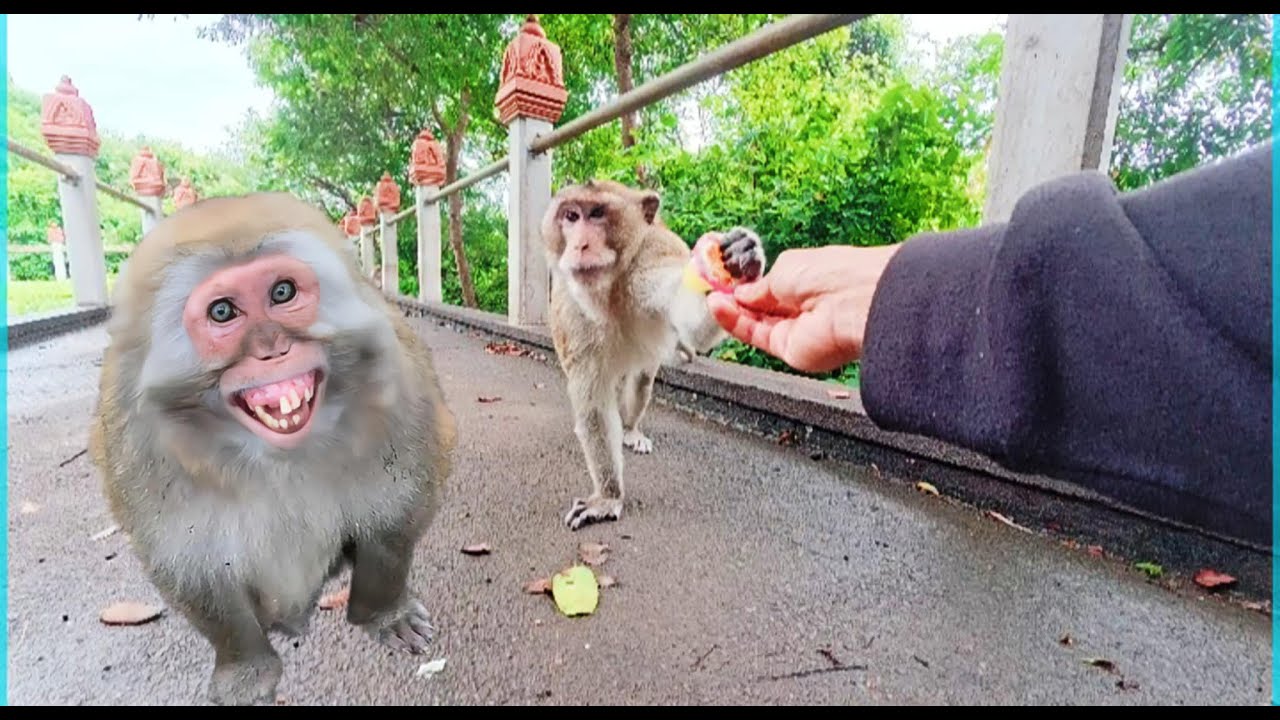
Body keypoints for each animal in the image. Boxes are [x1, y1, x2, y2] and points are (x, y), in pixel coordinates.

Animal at [87, 192, 458, 706]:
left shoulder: (401, 398)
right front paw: (247, 668)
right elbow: (193, 566)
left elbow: (394, 513)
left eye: (282, 293)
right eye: (223, 312)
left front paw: (383, 613)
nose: (272, 348)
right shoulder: (138, 446)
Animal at [540, 179, 766, 530]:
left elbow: (689, 319)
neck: (609, 289)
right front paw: (609, 496)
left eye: (598, 213)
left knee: (642, 380)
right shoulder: (571, 310)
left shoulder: (652, 260)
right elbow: (593, 402)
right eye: (571, 216)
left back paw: (631, 430)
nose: (580, 246)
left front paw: (740, 262)